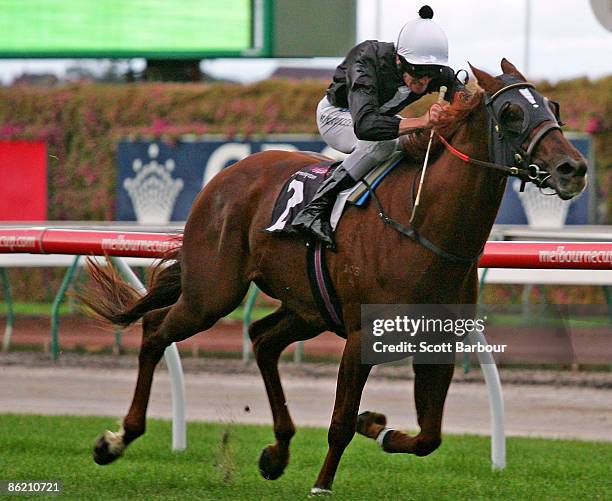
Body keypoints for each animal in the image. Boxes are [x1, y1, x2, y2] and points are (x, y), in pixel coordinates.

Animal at [83, 60, 584, 494]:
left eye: (553, 107)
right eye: (512, 113)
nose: (573, 169)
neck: (422, 227)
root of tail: (225, 176)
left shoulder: (437, 342)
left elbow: (429, 436)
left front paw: (376, 426)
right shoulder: (361, 338)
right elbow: (341, 422)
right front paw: (322, 483)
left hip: (308, 308)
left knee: (262, 339)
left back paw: (276, 451)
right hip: (213, 292)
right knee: (156, 330)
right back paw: (116, 440)